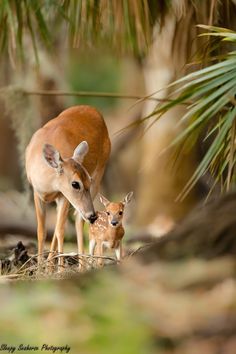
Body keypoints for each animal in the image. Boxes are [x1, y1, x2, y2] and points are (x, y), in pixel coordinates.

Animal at [25, 105, 110, 268]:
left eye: (88, 179)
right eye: (75, 183)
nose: (93, 215)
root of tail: (94, 110)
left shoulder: (63, 195)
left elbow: (60, 230)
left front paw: (60, 269)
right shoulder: (37, 193)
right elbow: (41, 231)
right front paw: (40, 268)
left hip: (100, 171)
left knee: (77, 219)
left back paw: (82, 265)